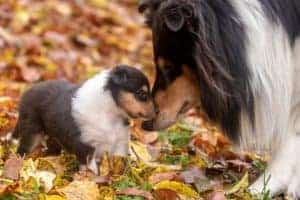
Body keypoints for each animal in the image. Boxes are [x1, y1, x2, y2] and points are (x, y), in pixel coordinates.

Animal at [12, 65, 156, 173]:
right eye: (142, 94)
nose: (157, 112)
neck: (110, 114)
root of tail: (27, 92)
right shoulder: (86, 147)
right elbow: (92, 173)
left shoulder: (119, 145)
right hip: (32, 133)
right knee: (22, 151)